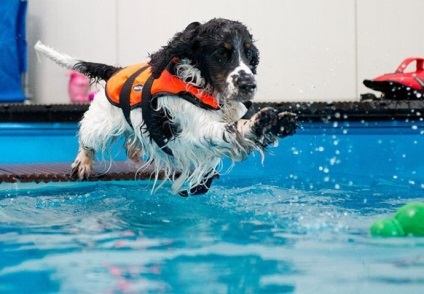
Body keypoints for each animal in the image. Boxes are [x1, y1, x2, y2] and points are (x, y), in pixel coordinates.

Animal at [34, 19, 296, 196]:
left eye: (249, 53)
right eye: (221, 53)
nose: (248, 84)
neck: (205, 87)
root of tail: (116, 70)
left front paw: (276, 124)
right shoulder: (196, 131)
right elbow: (228, 130)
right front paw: (260, 124)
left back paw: (134, 149)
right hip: (103, 121)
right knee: (87, 136)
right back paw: (84, 163)